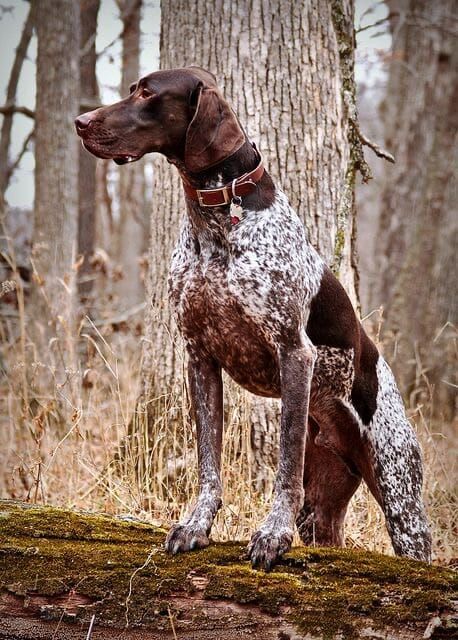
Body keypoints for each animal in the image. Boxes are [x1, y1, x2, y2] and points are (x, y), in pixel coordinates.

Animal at [76, 69, 432, 568]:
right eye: (133, 88)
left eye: (147, 92)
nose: (81, 121)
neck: (218, 220)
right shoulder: (199, 358)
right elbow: (209, 462)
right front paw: (197, 525)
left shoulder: (294, 353)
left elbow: (284, 462)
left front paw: (272, 534)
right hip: (323, 508)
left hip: (401, 499)